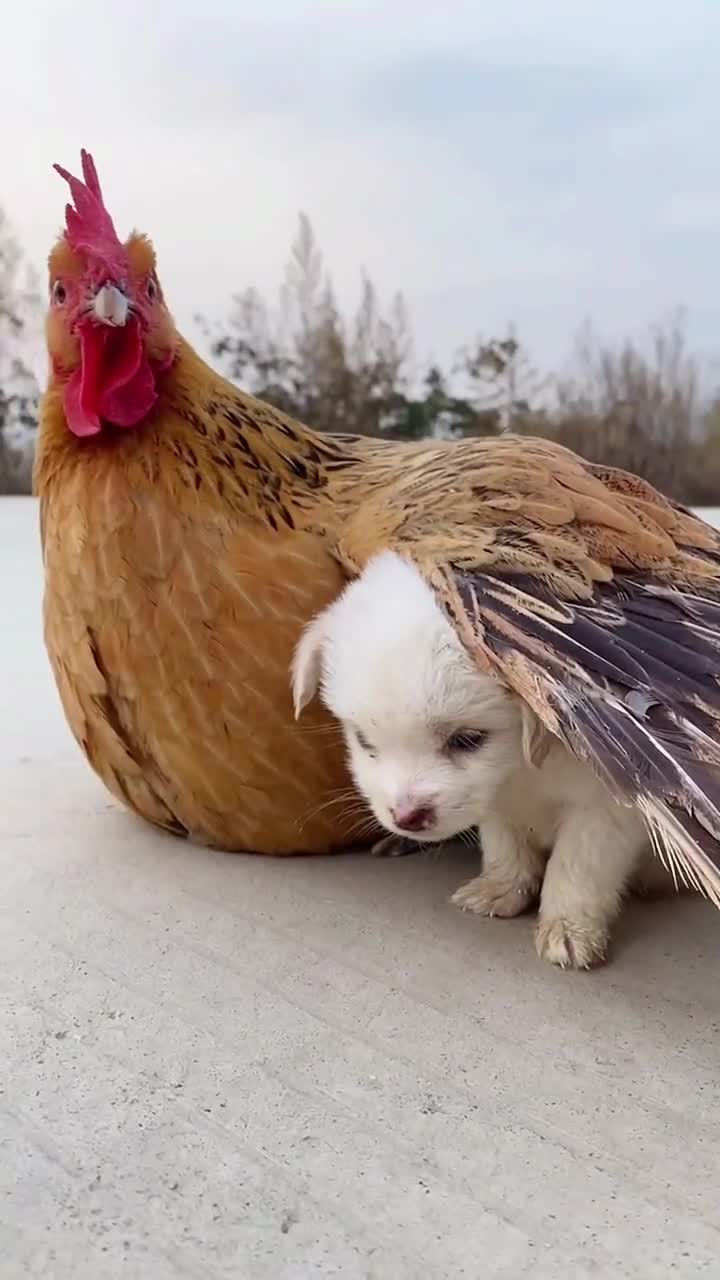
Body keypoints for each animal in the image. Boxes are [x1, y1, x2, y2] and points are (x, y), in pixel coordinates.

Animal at [289, 552, 666, 967]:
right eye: (363, 740)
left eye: (467, 739)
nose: (406, 819)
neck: (523, 768)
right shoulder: (494, 801)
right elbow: (505, 843)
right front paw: (501, 888)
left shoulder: (603, 810)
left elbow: (577, 867)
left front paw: (568, 929)